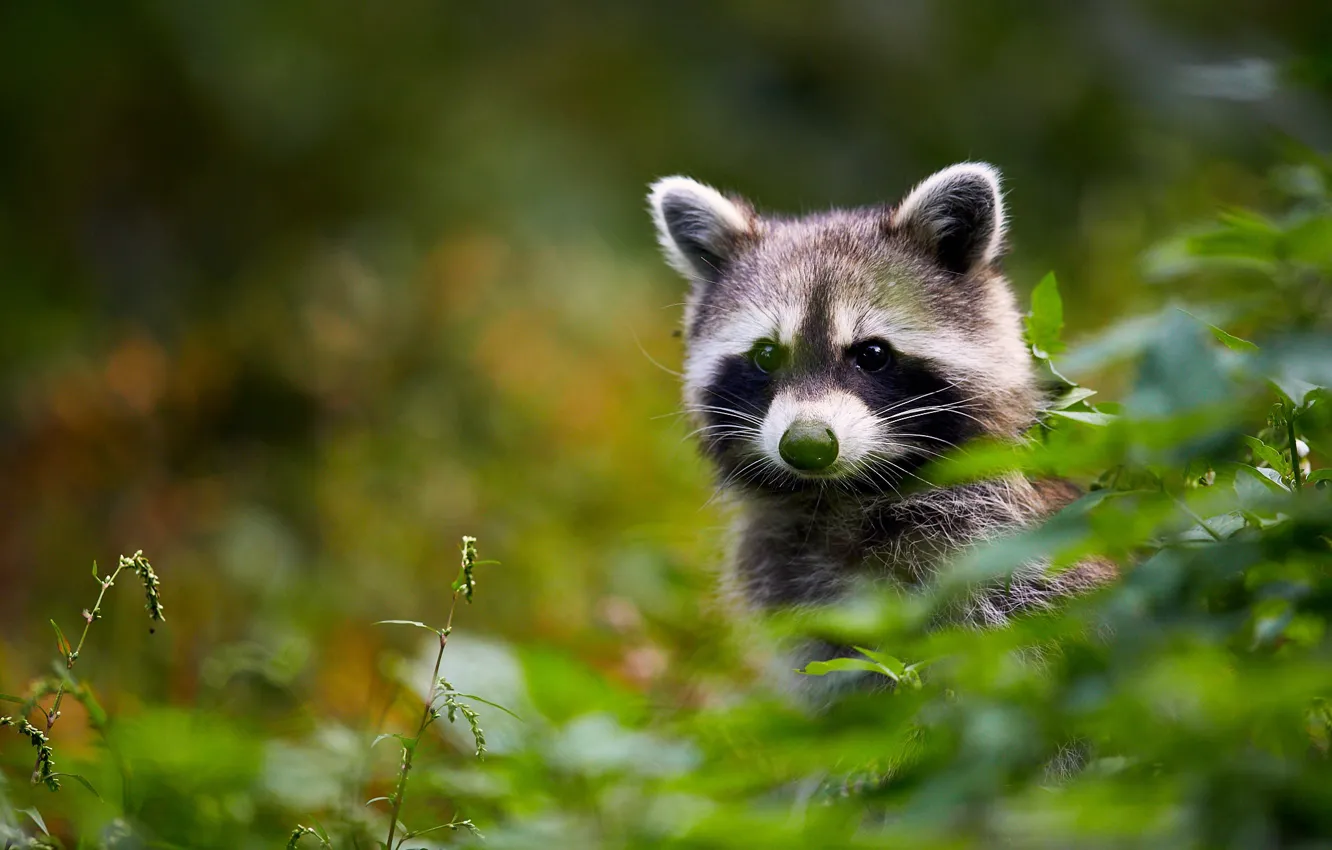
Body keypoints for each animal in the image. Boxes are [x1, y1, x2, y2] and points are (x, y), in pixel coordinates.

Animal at [647, 163, 1113, 687]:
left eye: (872, 354)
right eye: (767, 355)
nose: (806, 445)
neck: (844, 496)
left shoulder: (1006, 557)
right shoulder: (800, 597)